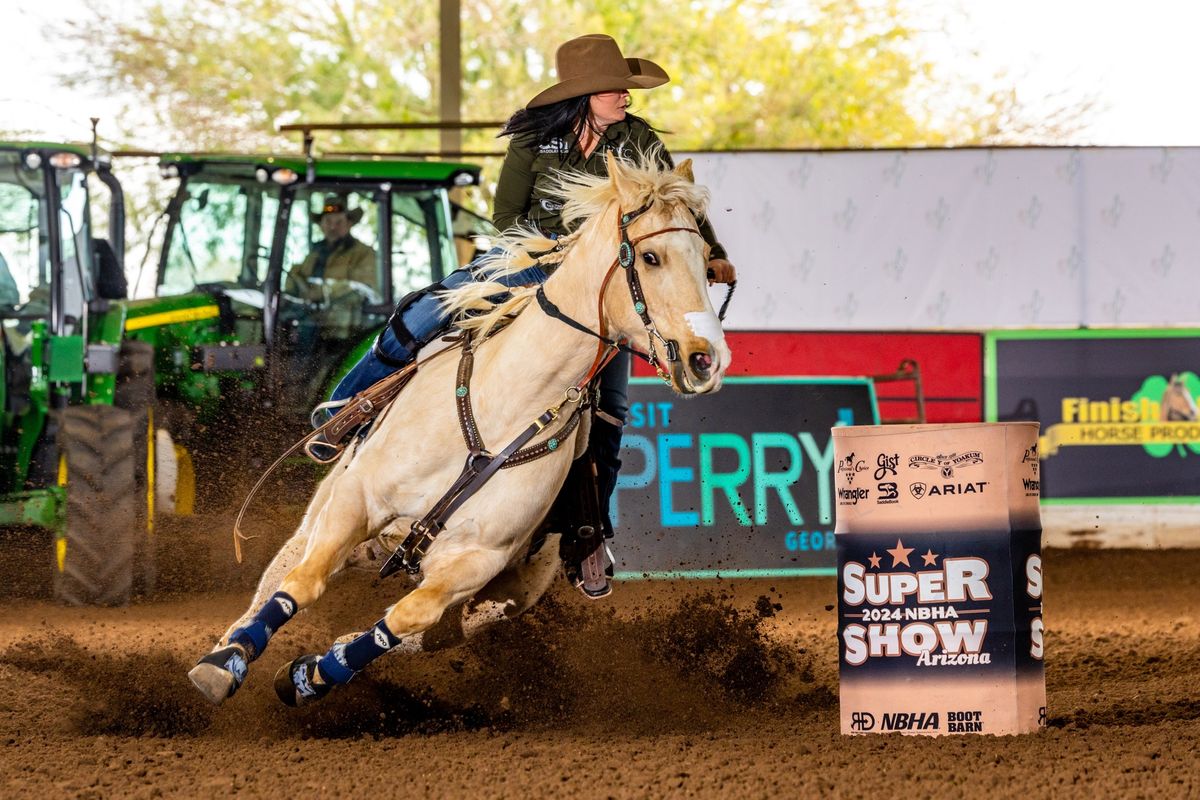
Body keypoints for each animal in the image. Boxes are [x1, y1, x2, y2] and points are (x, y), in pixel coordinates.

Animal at [188, 151, 729, 705]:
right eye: (651, 258)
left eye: (705, 259)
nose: (706, 359)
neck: (502, 408)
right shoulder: (357, 499)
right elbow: (304, 581)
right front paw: (225, 664)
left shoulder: (476, 561)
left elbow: (405, 618)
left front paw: (312, 673)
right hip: (323, 512)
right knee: (281, 572)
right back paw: (231, 645)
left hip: (509, 591)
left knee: (427, 632)